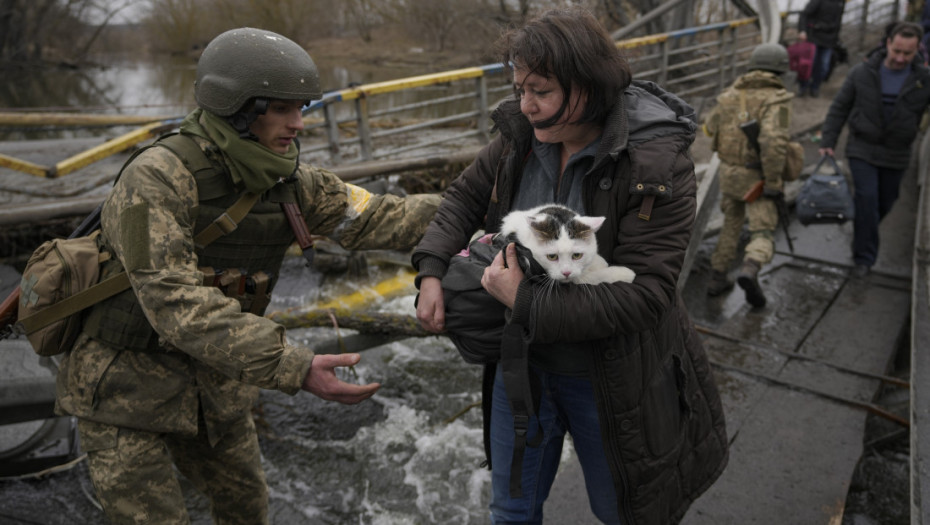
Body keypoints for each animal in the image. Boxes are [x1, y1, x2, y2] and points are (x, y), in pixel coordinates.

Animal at [496, 203, 636, 284]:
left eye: (577, 255)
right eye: (552, 257)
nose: (566, 273)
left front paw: (599, 261)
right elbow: (594, 277)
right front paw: (624, 273)